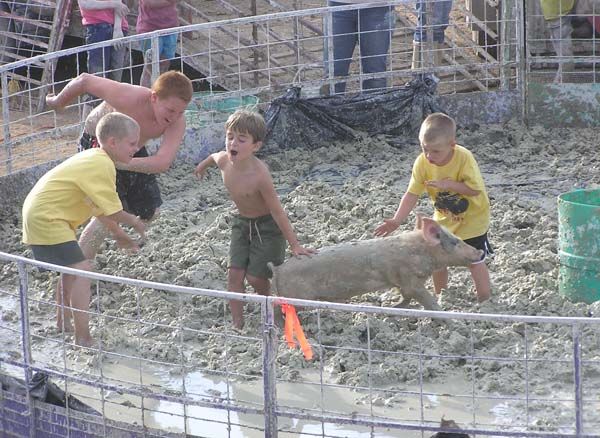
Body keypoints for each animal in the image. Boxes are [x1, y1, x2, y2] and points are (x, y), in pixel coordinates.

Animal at [270, 214, 486, 310]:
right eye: (455, 241)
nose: (480, 250)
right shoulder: (410, 279)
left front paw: (394, 307)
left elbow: (405, 297)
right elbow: (428, 302)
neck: (421, 251)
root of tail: (277, 270)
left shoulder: (401, 281)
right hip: (294, 298)